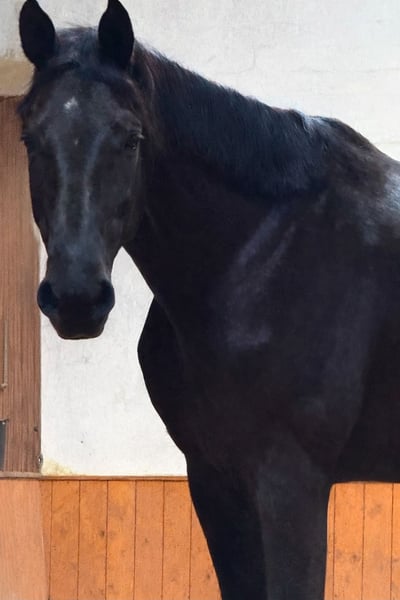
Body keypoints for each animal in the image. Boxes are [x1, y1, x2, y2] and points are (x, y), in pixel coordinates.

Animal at [17, 1, 400, 598]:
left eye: (131, 138)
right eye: (30, 139)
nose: (77, 299)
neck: (259, 256)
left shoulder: (291, 486)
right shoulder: (215, 481)